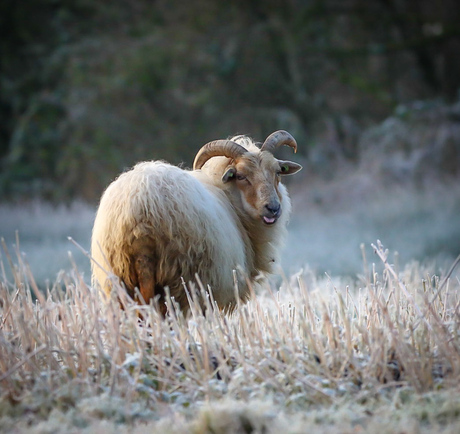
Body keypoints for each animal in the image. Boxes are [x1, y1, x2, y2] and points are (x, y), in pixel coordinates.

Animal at [91, 130, 304, 316]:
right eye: (241, 176)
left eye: (278, 172)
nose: (273, 208)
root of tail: (140, 208)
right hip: (180, 281)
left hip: (120, 281)